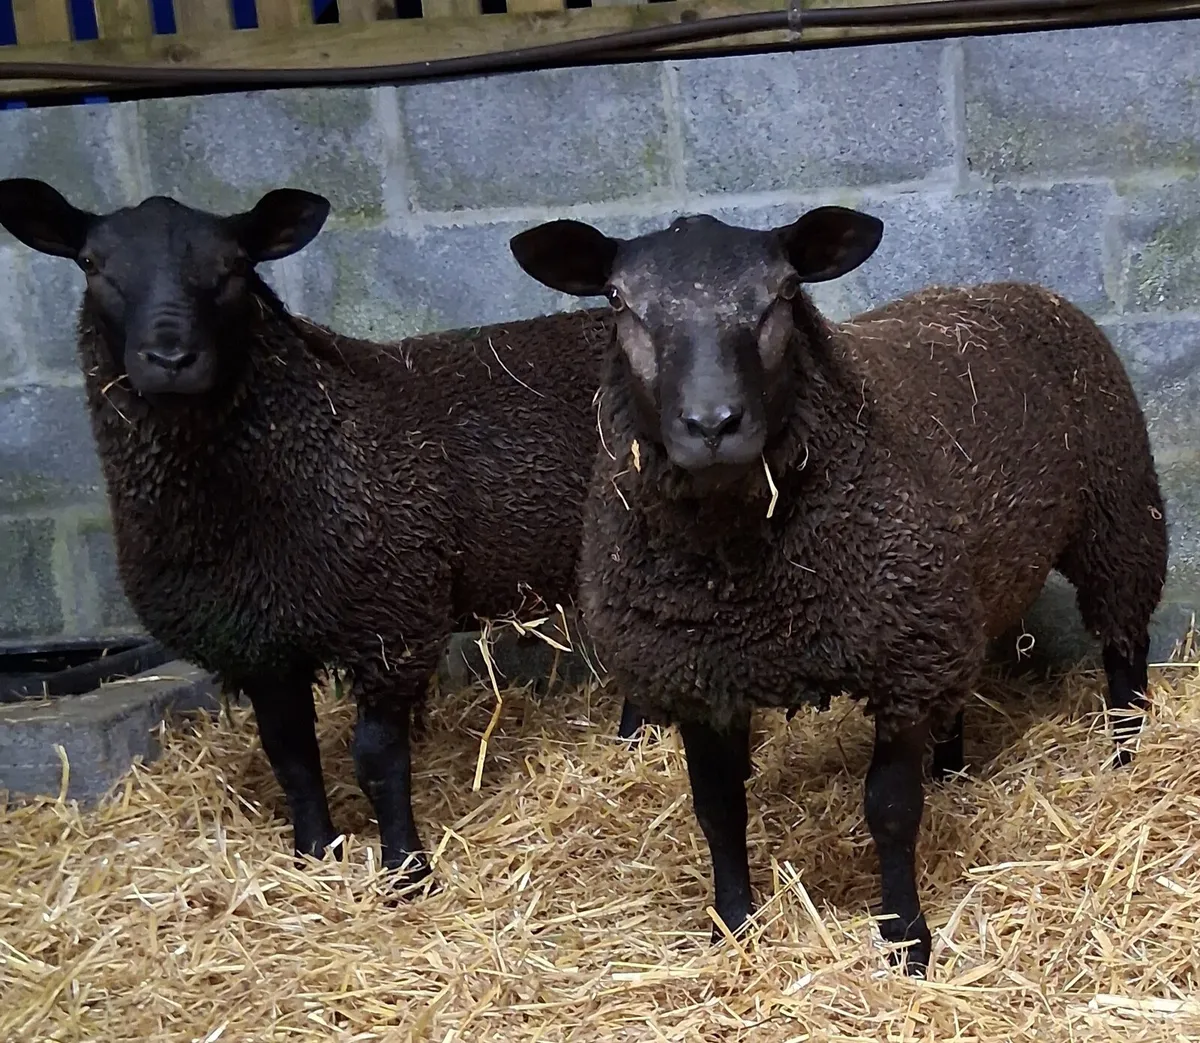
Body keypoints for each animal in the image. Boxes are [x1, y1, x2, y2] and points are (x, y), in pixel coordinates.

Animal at [0, 176, 625, 886]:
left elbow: (377, 759)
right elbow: (291, 756)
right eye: (90, 264)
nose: (170, 358)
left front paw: (406, 871)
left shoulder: (392, 621)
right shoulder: (258, 643)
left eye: (234, 265)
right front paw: (315, 853)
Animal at [508, 206, 1168, 976]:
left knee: (1123, 642)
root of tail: (1008, 284)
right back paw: (955, 768)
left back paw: (1125, 755)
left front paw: (906, 939)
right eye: (617, 300)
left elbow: (890, 808)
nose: (713, 424)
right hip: (957, 592)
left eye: (787, 290)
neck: (749, 588)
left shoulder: (901, 661)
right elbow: (717, 809)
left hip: (1117, 511)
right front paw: (733, 927)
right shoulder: (701, 675)